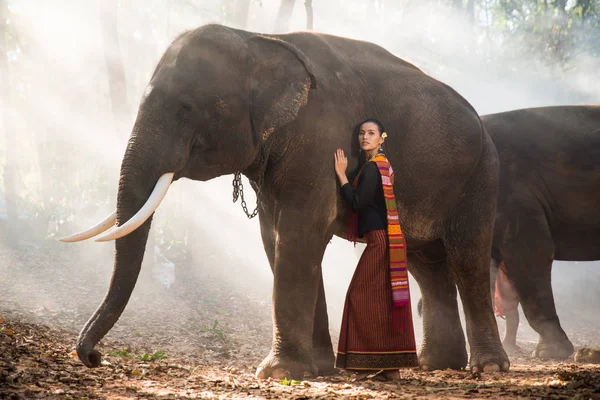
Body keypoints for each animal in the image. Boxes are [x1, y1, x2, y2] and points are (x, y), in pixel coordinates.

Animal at [61, 25, 508, 378]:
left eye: (185, 108)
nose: (94, 357)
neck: (257, 41)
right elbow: (274, 238)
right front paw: (320, 369)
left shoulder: (320, 141)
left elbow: (298, 235)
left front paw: (280, 373)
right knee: (426, 264)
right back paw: (437, 364)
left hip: (482, 175)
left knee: (468, 258)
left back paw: (487, 367)